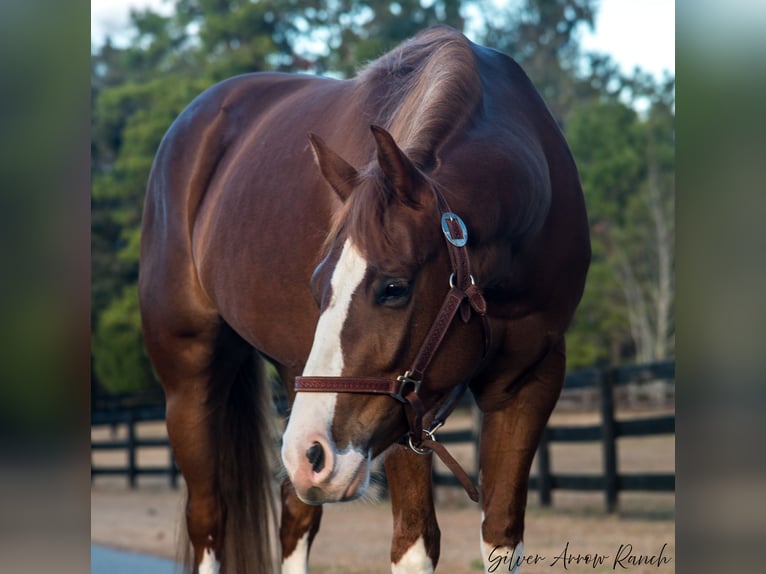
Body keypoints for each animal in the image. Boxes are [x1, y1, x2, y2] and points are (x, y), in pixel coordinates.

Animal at [140, 24, 592, 572]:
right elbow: (414, 544)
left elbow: (502, 537)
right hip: (193, 384)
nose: (312, 455)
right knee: (209, 520)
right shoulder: (404, 416)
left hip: (298, 382)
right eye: (318, 286)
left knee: (295, 516)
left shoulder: (529, 382)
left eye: (394, 287)